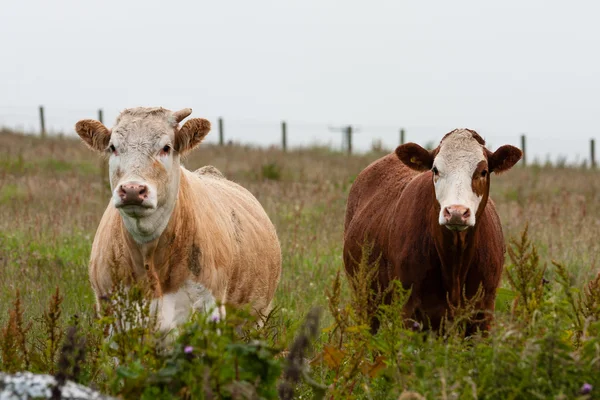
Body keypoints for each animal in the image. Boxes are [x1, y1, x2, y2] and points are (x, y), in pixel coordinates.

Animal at [344, 130, 524, 332]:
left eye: (483, 171)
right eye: (435, 170)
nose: (456, 212)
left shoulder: (483, 313)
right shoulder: (409, 311)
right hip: (366, 300)